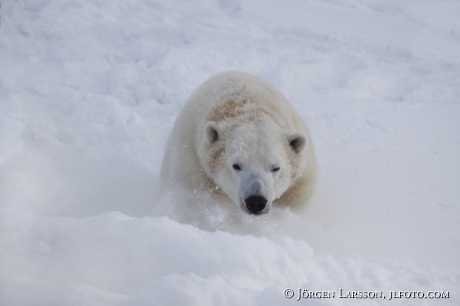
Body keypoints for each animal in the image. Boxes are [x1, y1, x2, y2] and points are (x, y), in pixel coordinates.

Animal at [161, 71, 316, 215]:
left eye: (275, 167)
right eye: (236, 165)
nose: (256, 201)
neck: (249, 106)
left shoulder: (301, 181)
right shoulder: (192, 165)